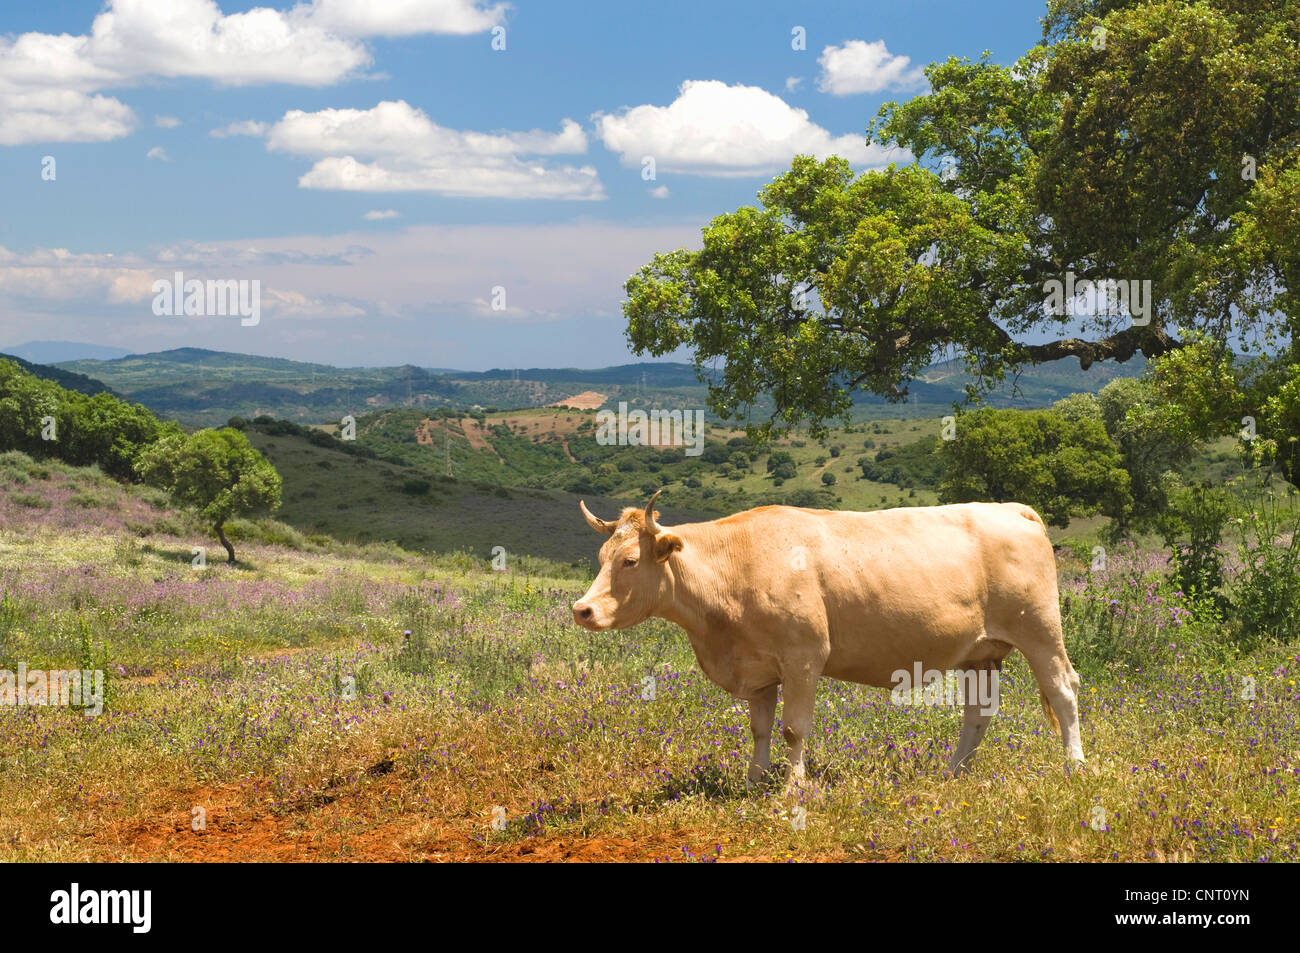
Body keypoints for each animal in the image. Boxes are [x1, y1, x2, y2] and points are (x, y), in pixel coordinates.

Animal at [572, 491, 1086, 790]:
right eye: (601, 556)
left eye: (630, 561)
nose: (582, 609)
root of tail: (1010, 509)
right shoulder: (758, 669)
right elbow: (759, 729)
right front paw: (753, 782)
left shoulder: (804, 657)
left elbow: (793, 728)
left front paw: (792, 789)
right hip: (982, 653)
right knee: (977, 715)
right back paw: (951, 773)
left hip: (1040, 630)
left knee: (1063, 692)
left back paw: (1074, 766)